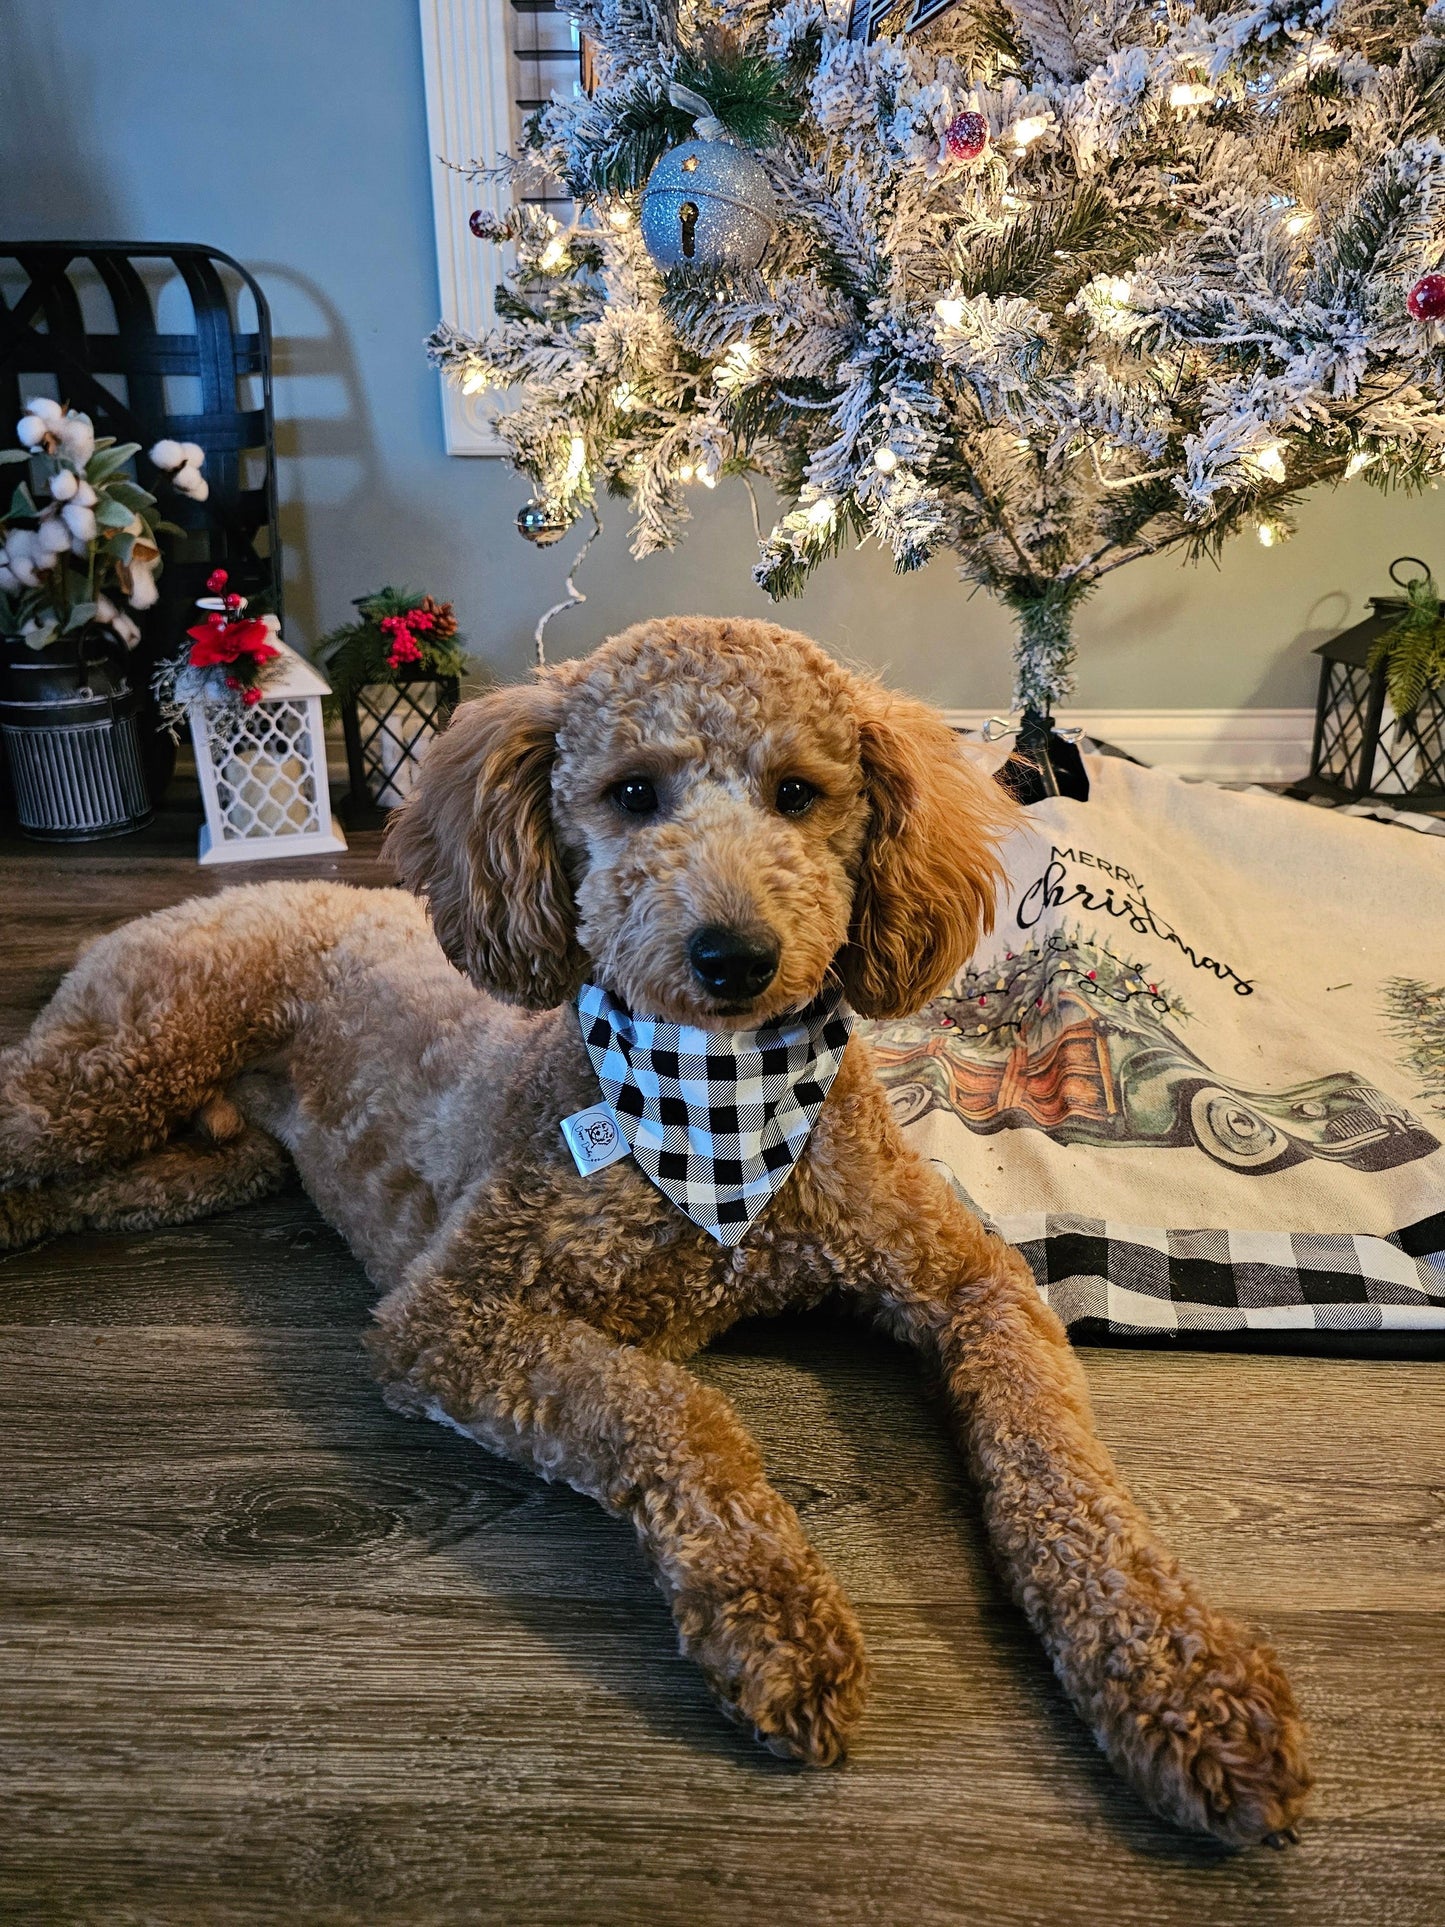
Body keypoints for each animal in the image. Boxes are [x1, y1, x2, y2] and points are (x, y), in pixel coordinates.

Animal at [0, 620, 1310, 1849]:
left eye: (798, 792)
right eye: (631, 792)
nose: (733, 956)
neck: (719, 1120)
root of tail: (226, 894)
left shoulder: (966, 1279)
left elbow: (1056, 1462)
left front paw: (1180, 1669)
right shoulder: (449, 1314)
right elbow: (674, 1410)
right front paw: (777, 1617)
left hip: (197, 1164)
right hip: (123, 1062)